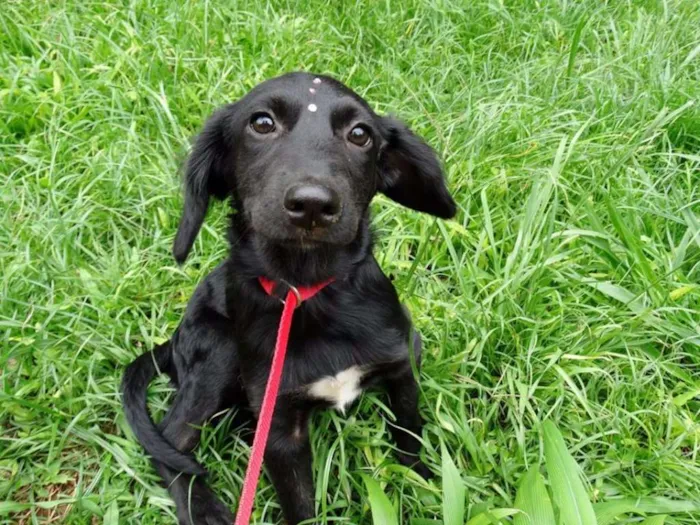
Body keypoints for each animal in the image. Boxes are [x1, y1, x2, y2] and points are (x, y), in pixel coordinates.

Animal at [121, 72, 456, 524]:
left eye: (360, 134)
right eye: (262, 123)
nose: (313, 204)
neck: (308, 292)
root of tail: (170, 343)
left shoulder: (401, 368)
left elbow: (409, 436)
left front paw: (422, 484)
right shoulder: (279, 427)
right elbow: (300, 505)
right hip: (218, 353)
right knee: (171, 441)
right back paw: (202, 508)